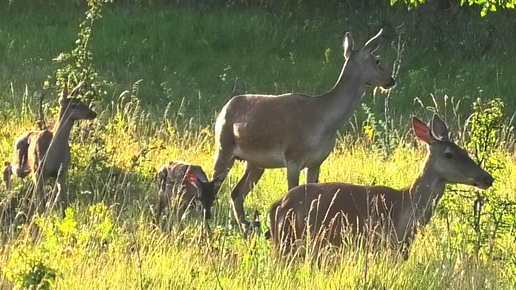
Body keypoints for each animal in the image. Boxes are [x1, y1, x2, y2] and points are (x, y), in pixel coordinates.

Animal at [4, 84, 97, 213]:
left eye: (83, 102)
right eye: (74, 105)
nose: (93, 113)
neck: (54, 151)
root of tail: (18, 138)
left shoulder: (62, 171)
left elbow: (60, 196)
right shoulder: (38, 171)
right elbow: (40, 200)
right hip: (21, 164)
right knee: (7, 166)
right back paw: (8, 195)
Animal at [213, 29, 396, 231]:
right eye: (377, 60)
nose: (391, 80)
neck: (324, 122)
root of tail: (224, 109)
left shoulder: (316, 162)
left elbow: (313, 199)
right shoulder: (292, 158)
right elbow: (293, 194)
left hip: (255, 163)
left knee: (236, 193)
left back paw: (246, 226)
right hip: (223, 147)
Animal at [268, 114, 494, 260]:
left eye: (464, 150)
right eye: (449, 154)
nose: (487, 178)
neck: (404, 209)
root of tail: (278, 205)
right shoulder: (383, 244)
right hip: (289, 241)